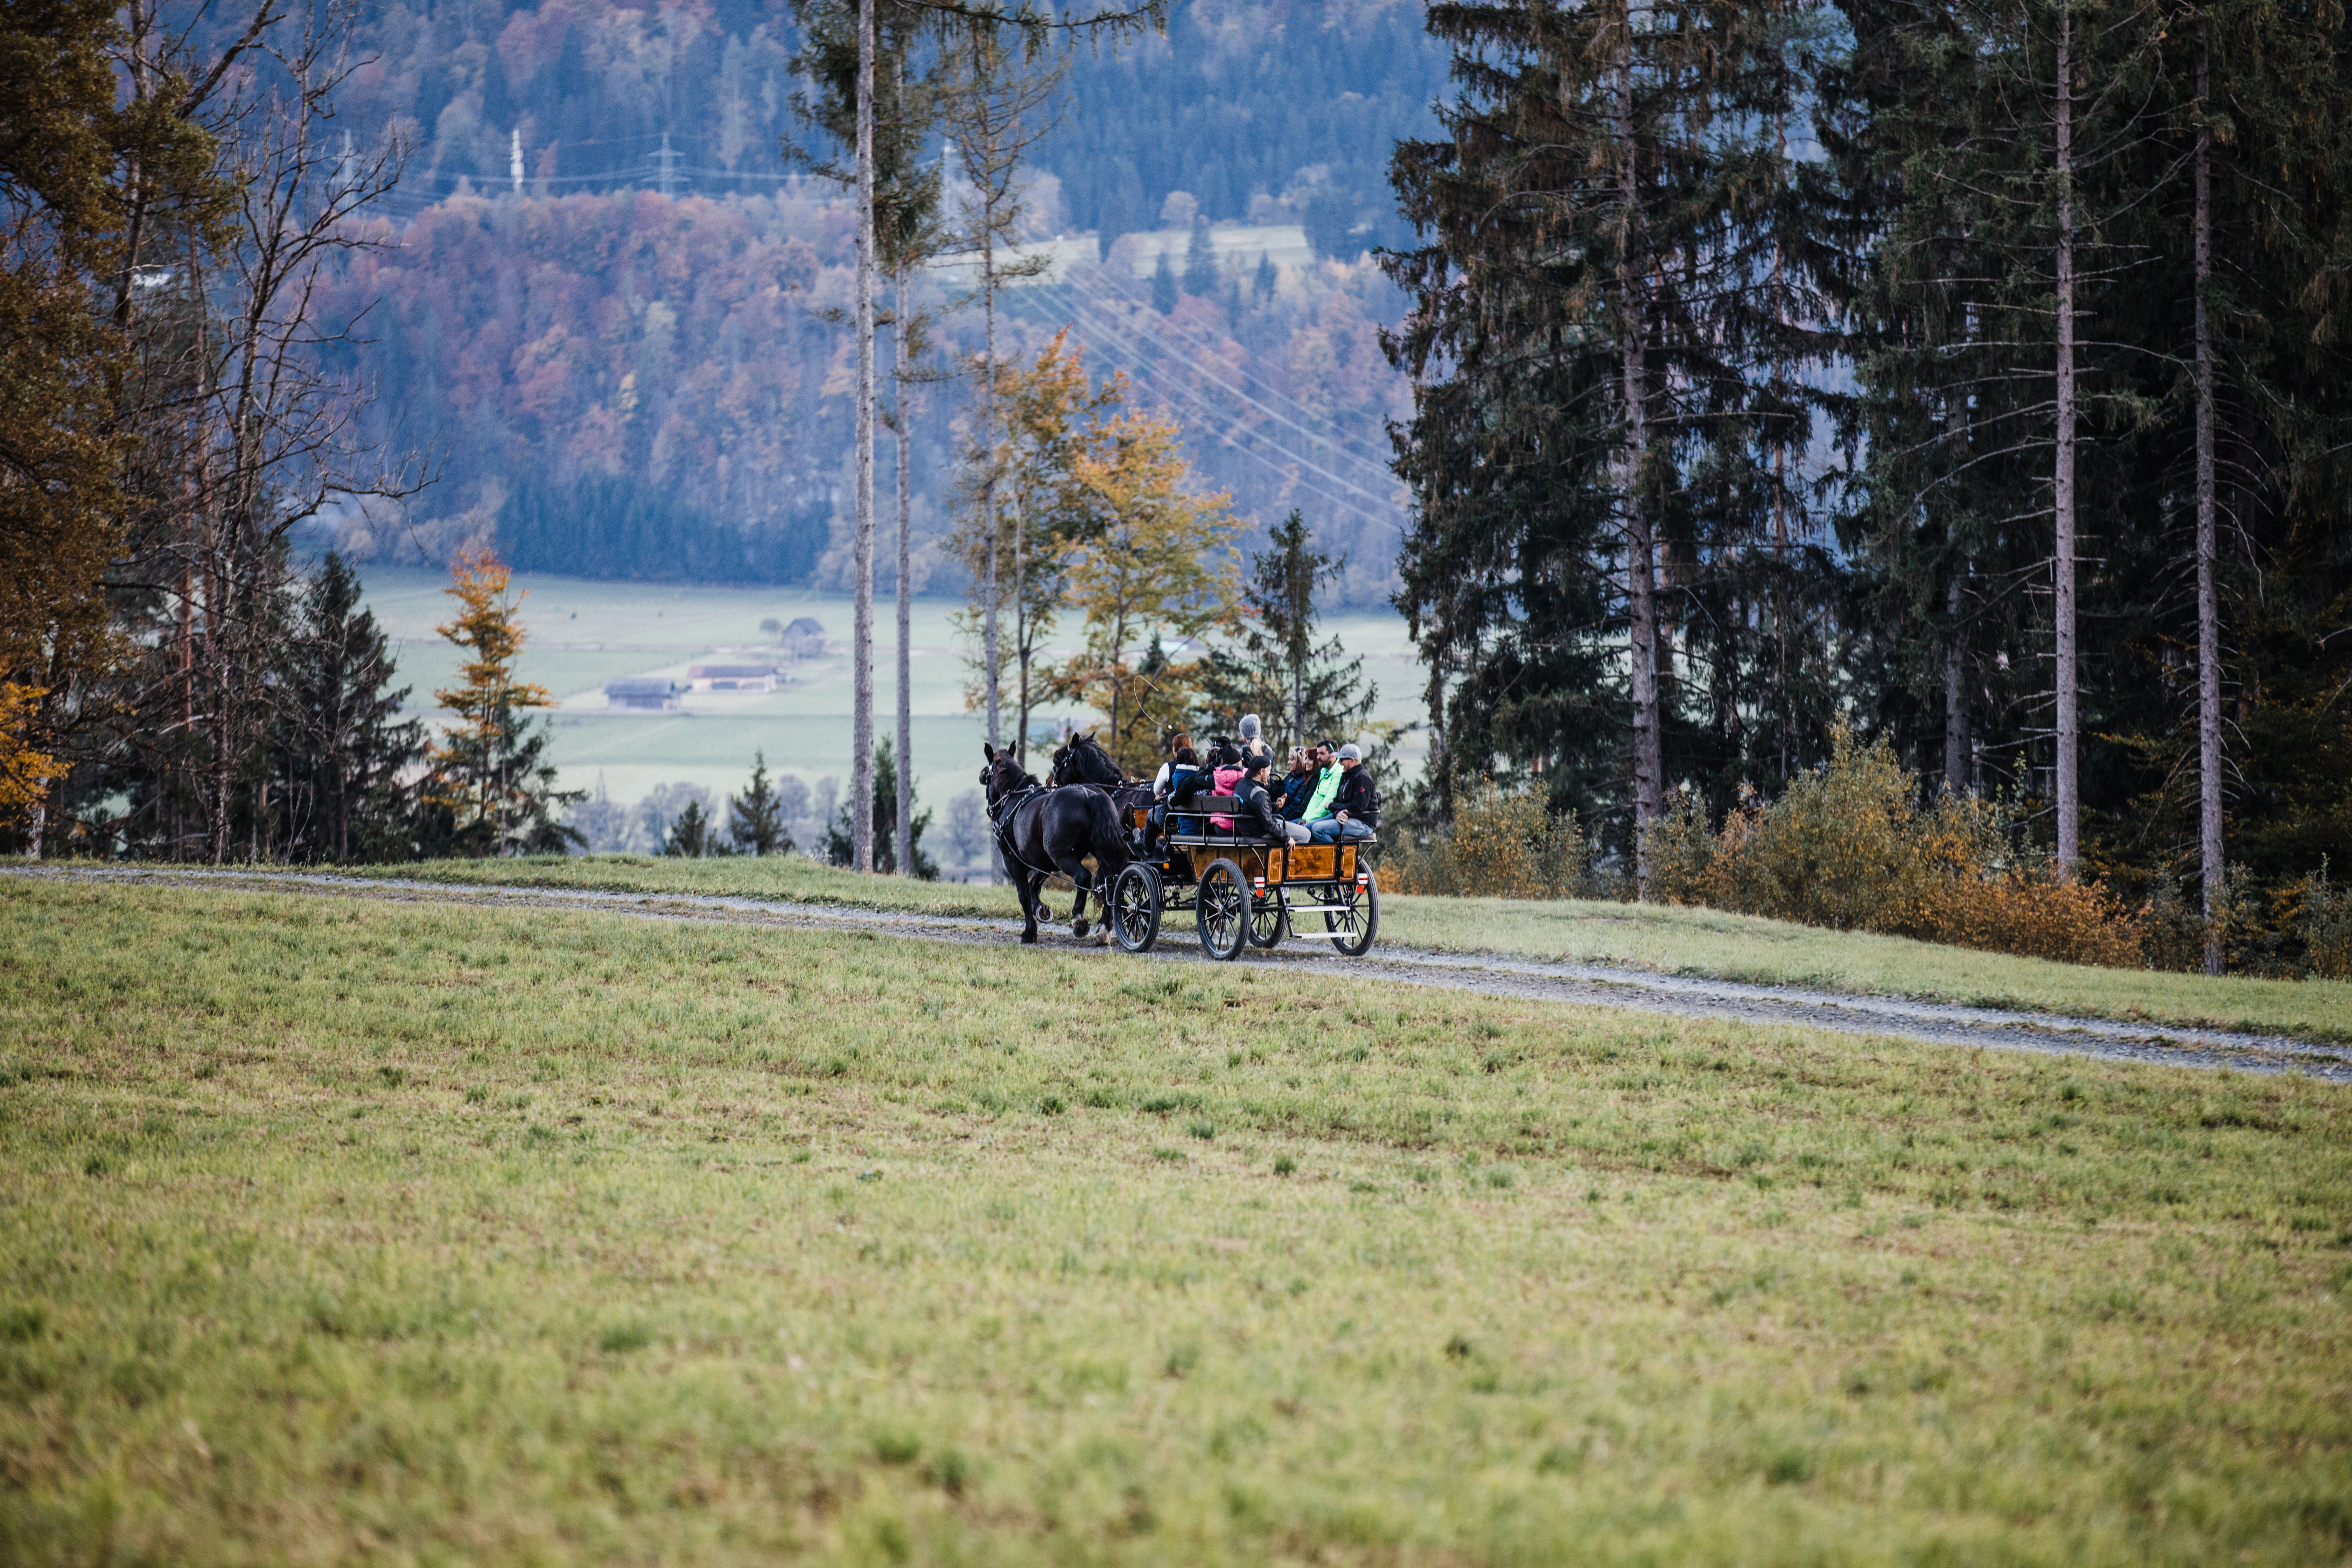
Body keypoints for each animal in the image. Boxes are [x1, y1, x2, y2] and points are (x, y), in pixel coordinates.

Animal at [969, 747, 1124, 950]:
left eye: (986, 775)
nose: (991, 810)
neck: (1015, 796)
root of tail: (1090, 794)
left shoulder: (1013, 860)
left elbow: (1024, 895)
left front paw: (1029, 932)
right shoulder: (1043, 861)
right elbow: (1034, 886)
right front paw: (1041, 909)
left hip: (1062, 857)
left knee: (1084, 877)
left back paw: (1079, 920)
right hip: (1098, 853)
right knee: (1110, 883)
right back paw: (1104, 931)